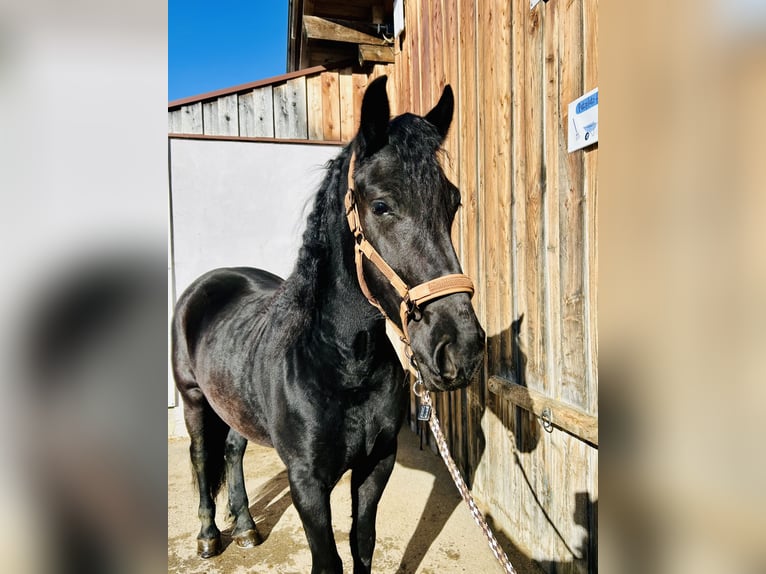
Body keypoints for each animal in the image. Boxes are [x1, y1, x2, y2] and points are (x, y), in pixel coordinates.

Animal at [173, 77, 486, 574]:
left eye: (452, 202)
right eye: (381, 205)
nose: (461, 347)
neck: (341, 364)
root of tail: (210, 281)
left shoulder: (377, 464)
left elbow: (363, 543)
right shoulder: (306, 481)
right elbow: (328, 561)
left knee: (233, 450)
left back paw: (245, 528)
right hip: (193, 401)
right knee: (203, 458)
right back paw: (208, 537)